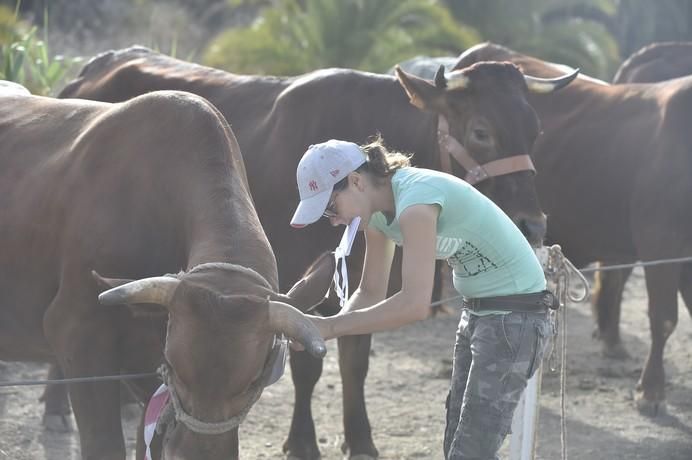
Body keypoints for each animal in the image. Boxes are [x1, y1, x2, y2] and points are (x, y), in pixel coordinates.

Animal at [58, 46, 580, 460]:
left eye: (535, 130)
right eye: (480, 131)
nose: (533, 224)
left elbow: (355, 361)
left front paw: (361, 440)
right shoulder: (291, 282)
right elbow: (309, 366)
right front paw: (304, 441)